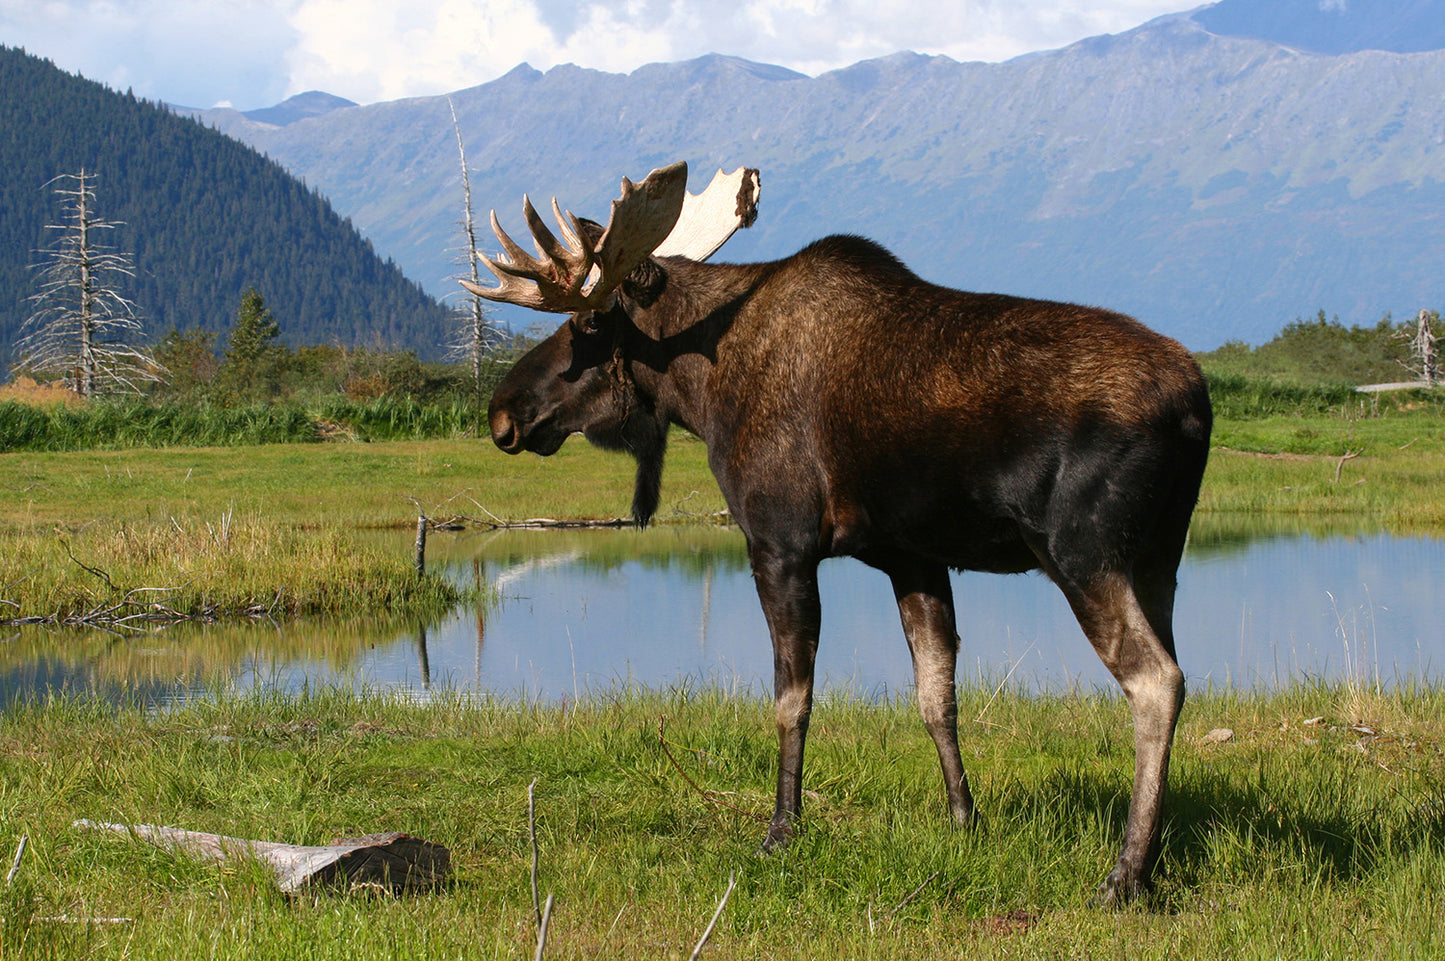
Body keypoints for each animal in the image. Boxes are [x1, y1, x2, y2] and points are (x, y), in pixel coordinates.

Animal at [463, 161, 1212, 903]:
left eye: (590, 321)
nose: (504, 414)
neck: (701, 388)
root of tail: (1194, 405)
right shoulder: (912, 557)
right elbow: (936, 696)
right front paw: (962, 820)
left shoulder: (780, 543)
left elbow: (791, 700)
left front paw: (780, 830)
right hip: (1158, 560)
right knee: (1172, 671)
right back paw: (1153, 856)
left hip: (1082, 553)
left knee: (1156, 681)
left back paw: (1124, 874)